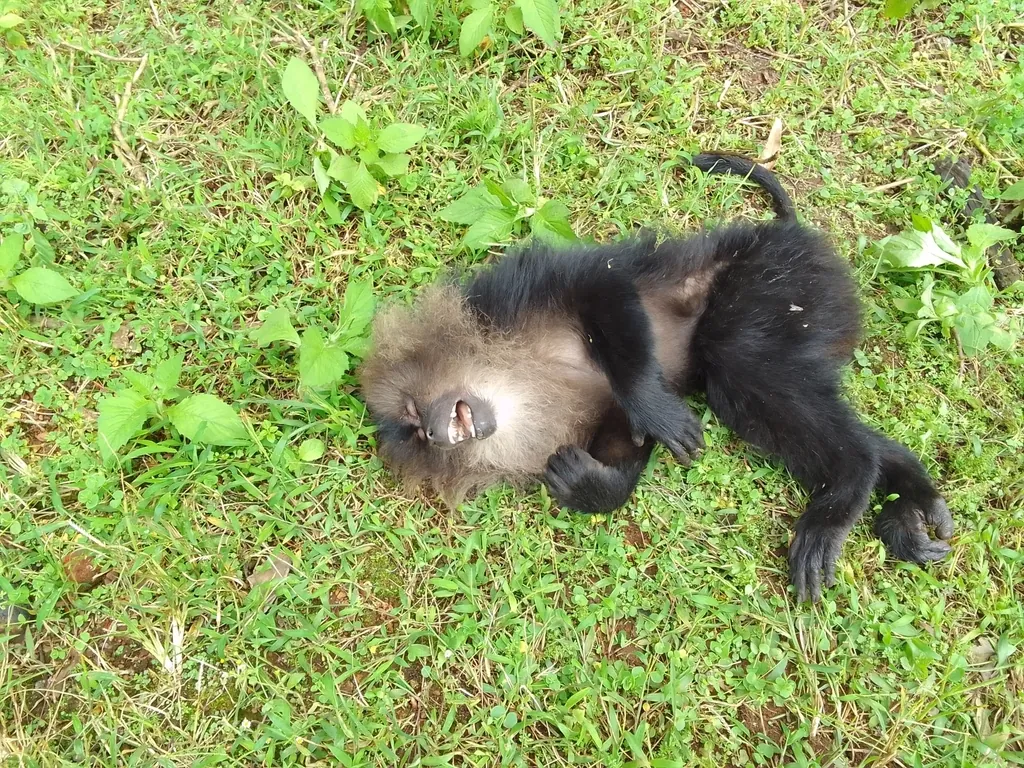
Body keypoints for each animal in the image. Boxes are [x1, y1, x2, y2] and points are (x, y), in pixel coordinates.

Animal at [358, 152, 955, 603]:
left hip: (779, 285)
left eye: (411, 415)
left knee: (742, 363)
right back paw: (907, 497)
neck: (512, 372)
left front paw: (653, 407)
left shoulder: (513, 296)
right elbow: (622, 448)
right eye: (416, 437)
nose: (434, 432)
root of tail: (786, 233)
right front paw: (590, 486)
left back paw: (848, 488)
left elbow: (603, 287)